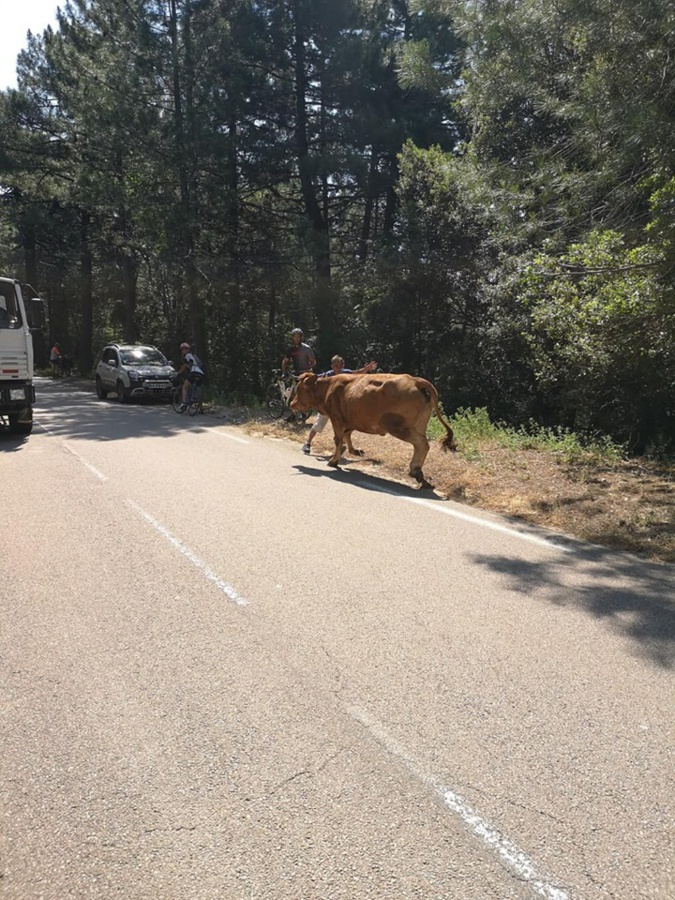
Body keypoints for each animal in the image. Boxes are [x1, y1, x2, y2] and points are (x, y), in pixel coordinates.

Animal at [291, 372, 457, 488]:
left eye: (298, 389)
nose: (291, 403)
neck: (328, 387)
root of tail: (415, 380)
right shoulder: (349, 421)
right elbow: (347, 436)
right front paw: (354, 451)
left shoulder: (336, 419)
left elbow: (338, 439)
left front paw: (333, 460)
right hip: (419, 425)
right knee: (421, 445)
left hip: (398, 426)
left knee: (422, 444)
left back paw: (415, 471)